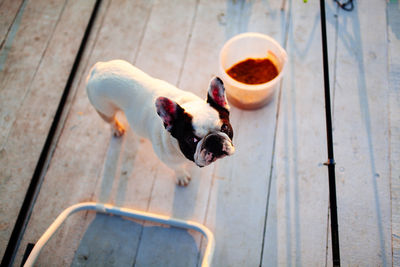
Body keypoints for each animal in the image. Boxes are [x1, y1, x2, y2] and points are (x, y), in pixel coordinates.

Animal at [85, 60, 234, 186]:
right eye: (191, 139)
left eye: (225, 127)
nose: (213, 140)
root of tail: (97, 69)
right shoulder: (168, 160)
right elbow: (177, 168)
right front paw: (181, 176)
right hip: (105, 109)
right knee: (110, 120)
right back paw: (116, 128)